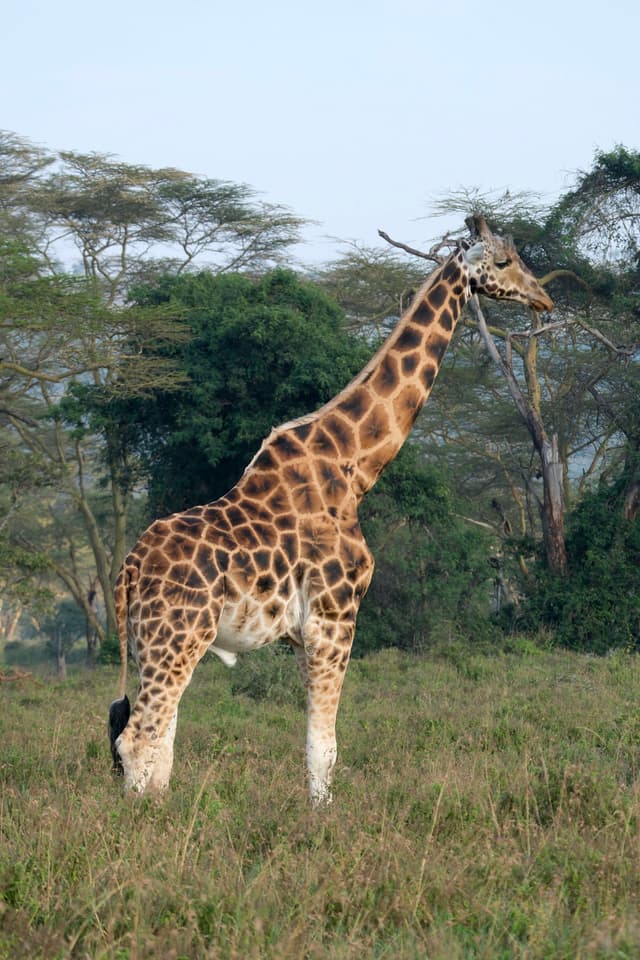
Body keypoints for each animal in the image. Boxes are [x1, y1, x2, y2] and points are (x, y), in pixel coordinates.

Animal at [109, 215, 554, 805]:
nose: (544, 298)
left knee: (157, 737)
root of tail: (131, 566)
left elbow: (316, 743)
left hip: (154, 640)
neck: (355, 467)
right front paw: (321, 816)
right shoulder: (335, 616)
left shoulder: (305, 633)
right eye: (503, 261)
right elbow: (325, 746)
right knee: (138, 737)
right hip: (178, 635)